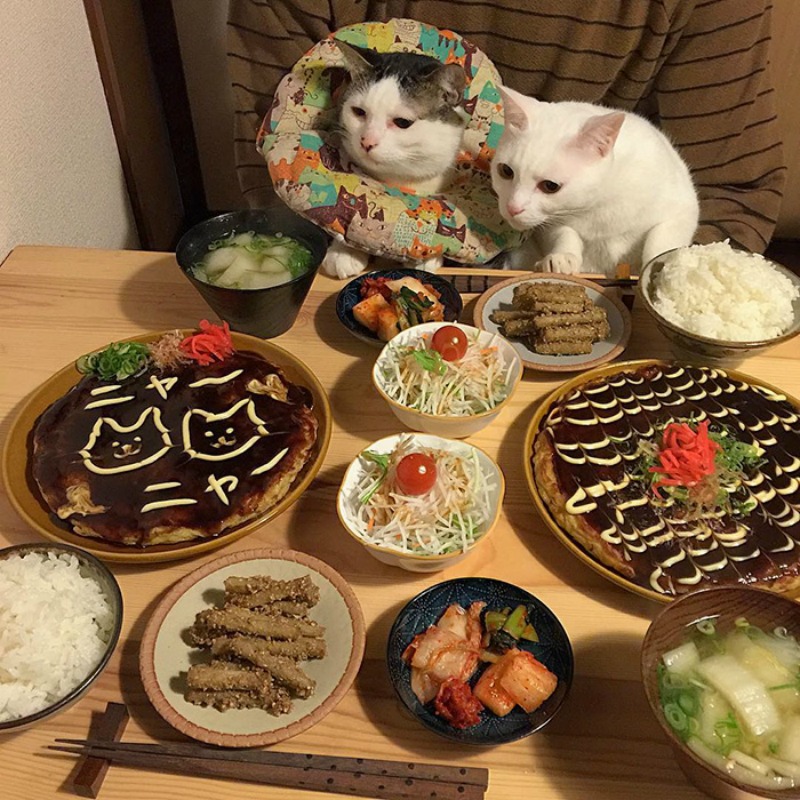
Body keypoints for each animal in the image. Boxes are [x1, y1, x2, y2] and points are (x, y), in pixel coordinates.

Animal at [490, 87, 696, 278]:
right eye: (506, 171)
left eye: (550, 186)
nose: (512, 208)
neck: (597, 205)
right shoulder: (550, 226)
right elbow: (565, 234)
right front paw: (562, 258)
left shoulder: (683, 212)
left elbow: (660, 242)